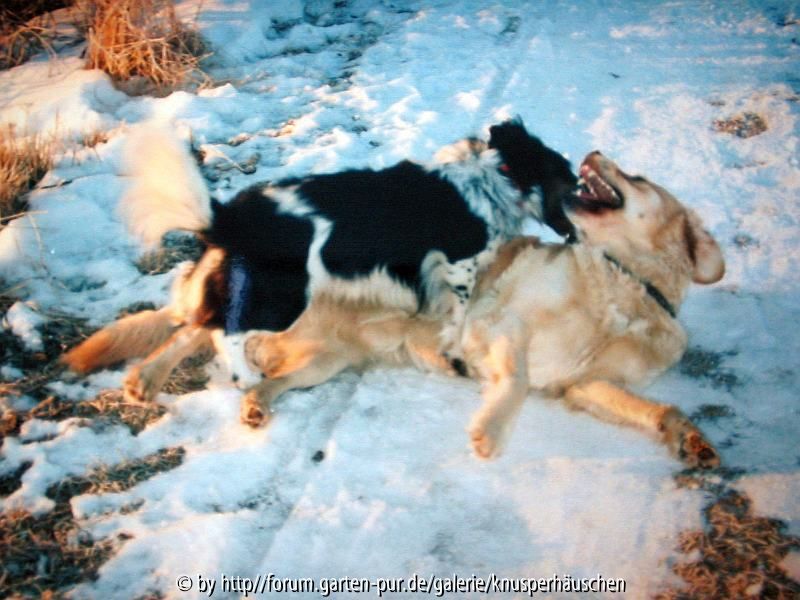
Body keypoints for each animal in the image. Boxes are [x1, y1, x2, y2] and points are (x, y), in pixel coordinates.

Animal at [62, 119, 577, 400]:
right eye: (570, 178)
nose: (582, 201)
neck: (497, 175)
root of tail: (233, 216)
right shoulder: (458, 265)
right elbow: (459, 312)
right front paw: (453, 344)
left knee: (200, 325)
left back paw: (148, 382)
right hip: (284, 297)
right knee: (225, 333)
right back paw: (245, 377)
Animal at [236, 151, 724, 467]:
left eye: (637, 176)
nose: (593, 151)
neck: (626, 282)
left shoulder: (587, 384)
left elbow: (658, 409)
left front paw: (689, 438)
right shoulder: (504, 321)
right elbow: (519, 381)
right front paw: (491, 429)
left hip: (327, 362)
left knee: (273, 379)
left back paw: (256, 403)